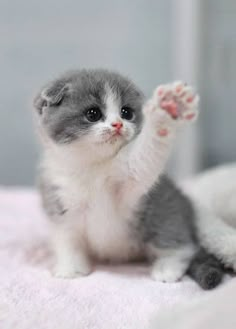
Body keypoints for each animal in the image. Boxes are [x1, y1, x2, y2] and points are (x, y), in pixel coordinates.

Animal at [34, 69, 222, 288]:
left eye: (126, 112)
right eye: (93, 114)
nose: (117, 124)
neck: (93, 167)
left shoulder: (129, 183)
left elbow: (144, 159)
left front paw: (169, 108)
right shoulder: (59, 201)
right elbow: (67, 239)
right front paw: (71, 269)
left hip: (165, 212)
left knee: (180, 243)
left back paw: (167, 268)